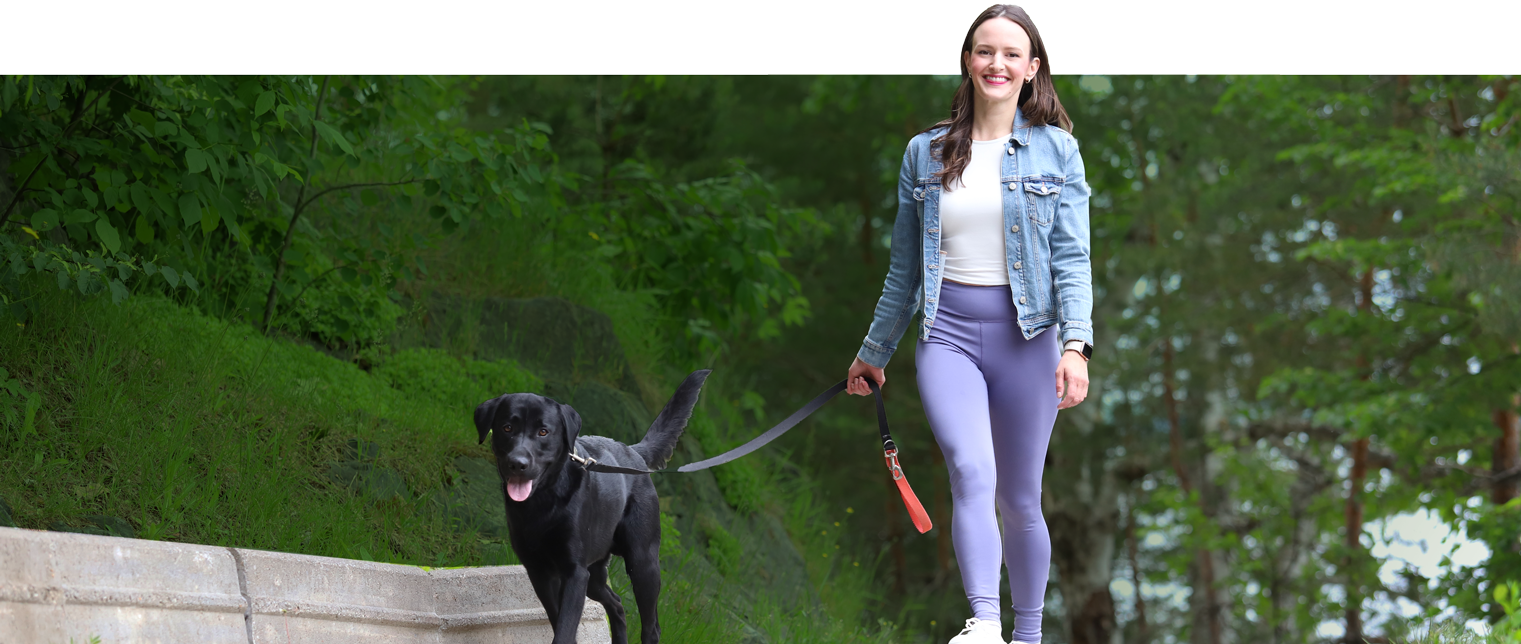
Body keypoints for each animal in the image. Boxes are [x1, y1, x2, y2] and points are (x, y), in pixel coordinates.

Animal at [471, 369, 708, 642]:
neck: (544, 502)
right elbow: (560, 622)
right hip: (595, 575)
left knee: (651, 626)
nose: (518, 463)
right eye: (507, 427)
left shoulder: (575, 573)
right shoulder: (539, 572)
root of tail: (635, 453)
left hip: (643, 564)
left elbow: (565, 628)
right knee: (616, 604)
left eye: (543, 432)